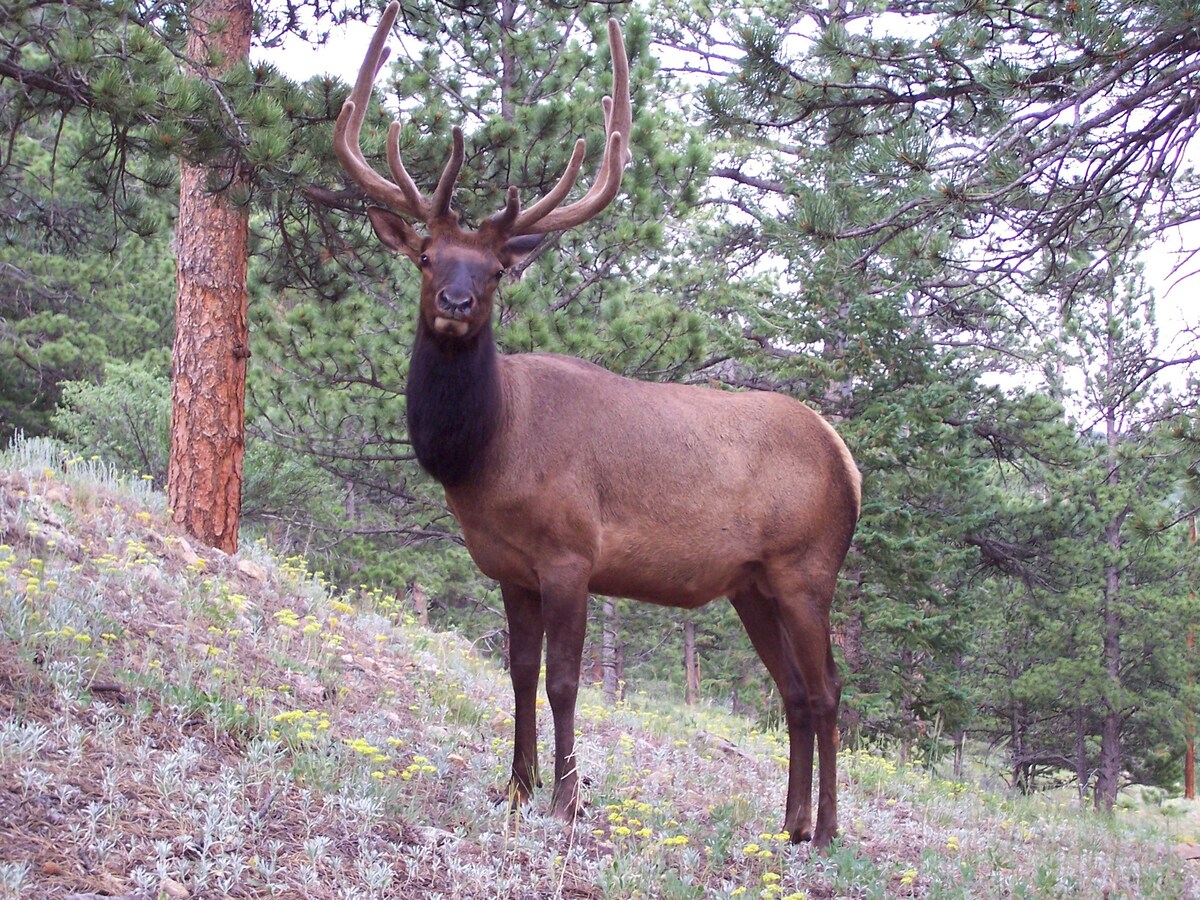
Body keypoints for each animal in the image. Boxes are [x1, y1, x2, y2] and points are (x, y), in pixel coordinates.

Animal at [331, 3, 864, 849]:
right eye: (425, 257)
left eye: (495, 270)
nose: (456, 304)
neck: (486, 453)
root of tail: (847, 462)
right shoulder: (509, 565)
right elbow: (517, 673)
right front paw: (514, 787)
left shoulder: (570, 554)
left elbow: (564, 680)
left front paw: (567, 800)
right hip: (752, 583)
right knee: (794, 694)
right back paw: (788, 825)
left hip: (807, 567)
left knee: (830, 688)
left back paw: (830, 831)